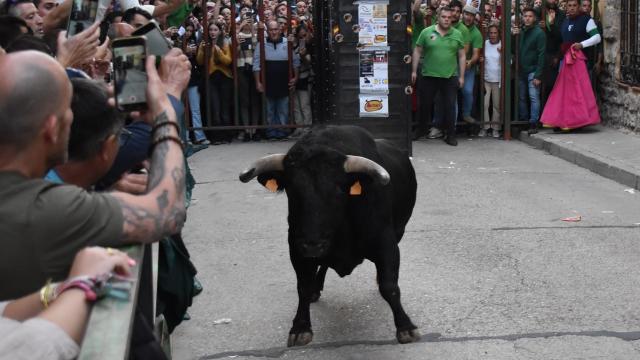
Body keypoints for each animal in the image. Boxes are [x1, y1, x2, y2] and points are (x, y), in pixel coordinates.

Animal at [240, 126, 420, 346]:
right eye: (292, 189)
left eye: (338, 190)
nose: (312, 245)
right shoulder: (296, 248)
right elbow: (303, 287)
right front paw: (300, 327)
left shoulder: (386, 243)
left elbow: (389, 286)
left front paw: (405, 326)